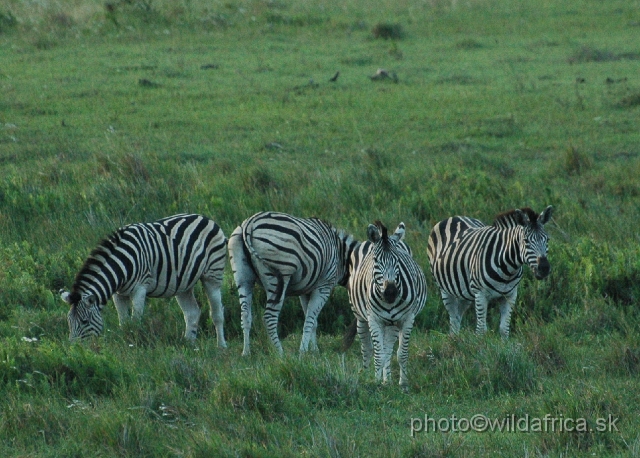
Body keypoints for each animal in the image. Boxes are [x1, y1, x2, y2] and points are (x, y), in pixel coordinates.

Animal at [60, 213, 229, 346]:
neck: (121, 266)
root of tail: (206, 218)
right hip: (184, 284)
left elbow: (135, 322)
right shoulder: (118, 294)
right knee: (192, 313)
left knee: (217, 313)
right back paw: (189, 344)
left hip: (212, 274)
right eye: (69, 322)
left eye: (84, 322)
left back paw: (221, 346)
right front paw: (126, 342)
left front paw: (133, 343)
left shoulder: (140, 288)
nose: (74, 348)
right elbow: (124, 322)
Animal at [229, 213, 360, 356]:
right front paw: (303, 352)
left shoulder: (306, 290)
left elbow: (313, 321)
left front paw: (314, 350)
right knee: (269, 317)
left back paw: (246, 353)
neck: (341, 257)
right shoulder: (324, 286)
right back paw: (280, 354)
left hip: (242, 276)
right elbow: (309, 320)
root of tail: (250, 223)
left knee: (245, 315)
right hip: (278, 277)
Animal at [342, 221, 428, 386]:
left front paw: (402, 384)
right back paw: (367, 374)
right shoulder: (374, 320)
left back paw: (387, 380)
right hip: (361, 316)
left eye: (399, 260)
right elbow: (378, 354)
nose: (391, 292)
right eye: (375, 260)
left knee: (388, 350)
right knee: (367, 348)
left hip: (392, 324)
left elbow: (400, 353)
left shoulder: (407, 319)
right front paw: (376, 383)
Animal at [430, 206, 556, 338]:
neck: (507, 269)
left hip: (465, 293)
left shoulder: (510, 295)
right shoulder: (480, 294)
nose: (544, 268)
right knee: (454, 319)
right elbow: (481, 330)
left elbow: (504, 329)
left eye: (547, 239)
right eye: (526, 241)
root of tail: (455, 217)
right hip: (445, 290)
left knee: (458, 317)